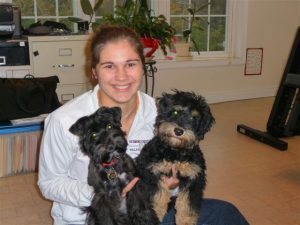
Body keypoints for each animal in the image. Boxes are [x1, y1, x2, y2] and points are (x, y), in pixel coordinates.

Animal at [127, 90, 214, 225]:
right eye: (175, 112)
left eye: (193, 117)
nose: (178, 131)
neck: (175, 152)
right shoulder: (150, 173)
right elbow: (157, 196)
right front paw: (156, 214)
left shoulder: (194, 178)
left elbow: (187, 205)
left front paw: (185, 221)